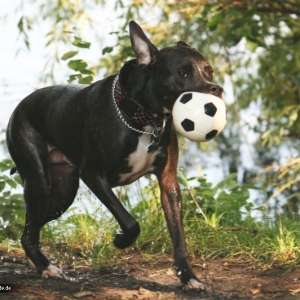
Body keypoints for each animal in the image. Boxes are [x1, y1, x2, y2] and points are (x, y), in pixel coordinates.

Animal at [6, 20, 223, 290]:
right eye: (182, 73)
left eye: (209, 70)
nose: (216, 89)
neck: (143, 117)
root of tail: (20, 107)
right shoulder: (94, 176)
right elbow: (130, 222)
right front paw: (121, 240)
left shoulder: (169, 183)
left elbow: (178, 236)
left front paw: (189, 277)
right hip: (39, 181)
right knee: (29, 230)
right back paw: (46, 267)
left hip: (62, 192)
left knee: (30, 228)